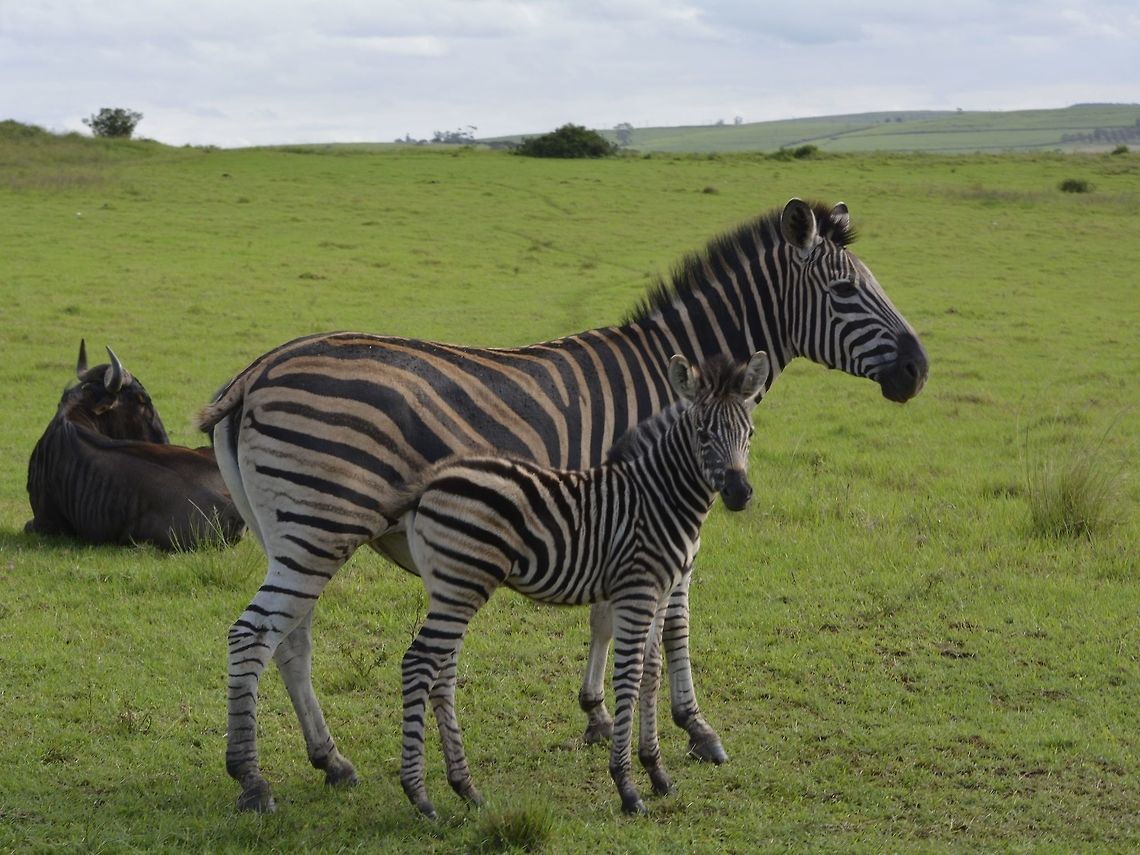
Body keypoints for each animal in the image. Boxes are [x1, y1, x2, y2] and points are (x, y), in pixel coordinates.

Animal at [397, 351, 769, 818]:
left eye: (749, 433)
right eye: (702, 433)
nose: (740, 493)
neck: (657, 497)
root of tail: (431, 483)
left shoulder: (661, 593)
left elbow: (651, 671)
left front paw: (657, 772)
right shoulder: (636, 592)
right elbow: (628, 675)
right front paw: (627, 786)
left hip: (451, 588)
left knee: (441, 674)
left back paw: (465, 787)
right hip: (463, 584)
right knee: (418, 664)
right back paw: (419, 796)